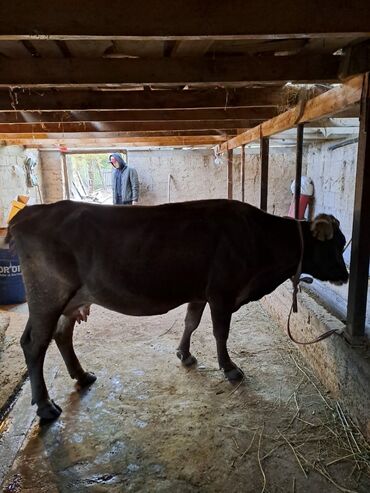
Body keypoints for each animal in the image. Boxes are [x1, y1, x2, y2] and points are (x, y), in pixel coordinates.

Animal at [5, 200, 348, 418]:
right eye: (335, 246)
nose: (345, 276)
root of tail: (29, 213)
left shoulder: (200, 292)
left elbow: (190, 323)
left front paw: (184, 353)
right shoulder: (222, 293)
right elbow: (220, 333)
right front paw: (229, 368)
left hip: (64, 301)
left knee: (57, 336)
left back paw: (82, 375)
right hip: (48, 296)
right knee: (35, 344)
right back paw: (45, 406)